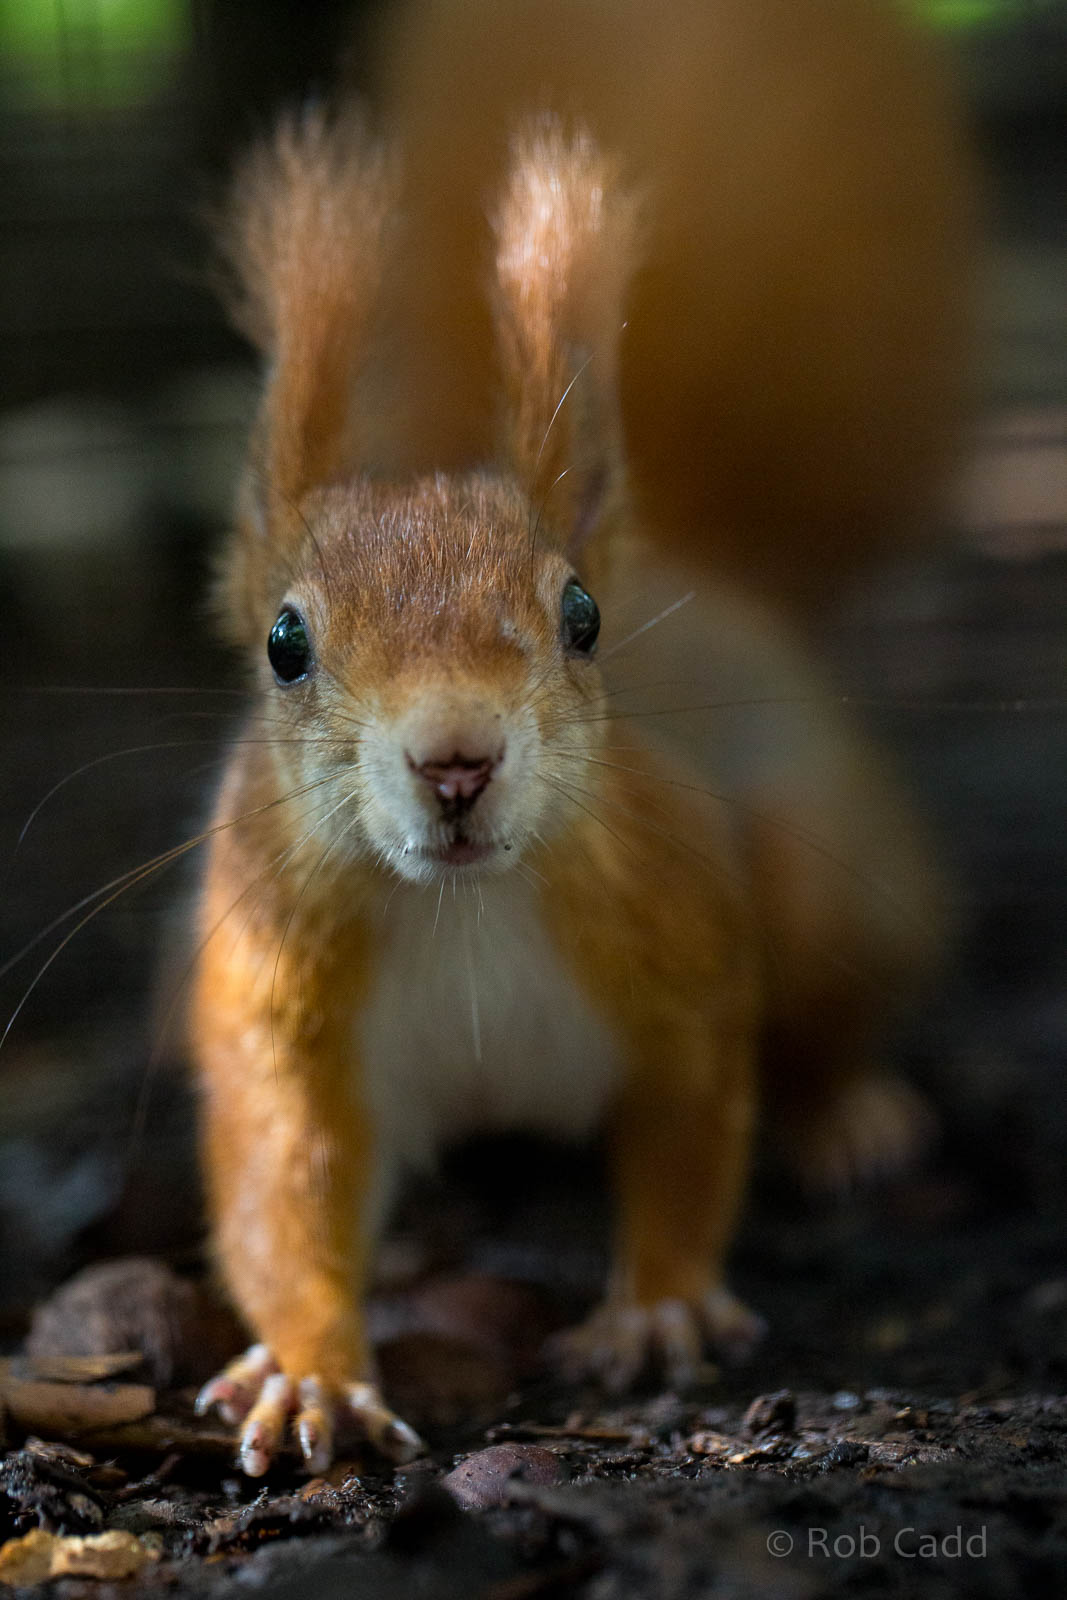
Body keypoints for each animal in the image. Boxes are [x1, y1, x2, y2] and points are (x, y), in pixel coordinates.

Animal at [192, 0, 969, 1475]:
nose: (454, 760)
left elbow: (690, 1127)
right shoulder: (277, 1007)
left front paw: (655, 1307)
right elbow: (282, 1193)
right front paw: (312, 1373)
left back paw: (843, 1112)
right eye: (284, 643)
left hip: (816, 864)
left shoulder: (676, 943)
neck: (462, 912)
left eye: (582, 619)